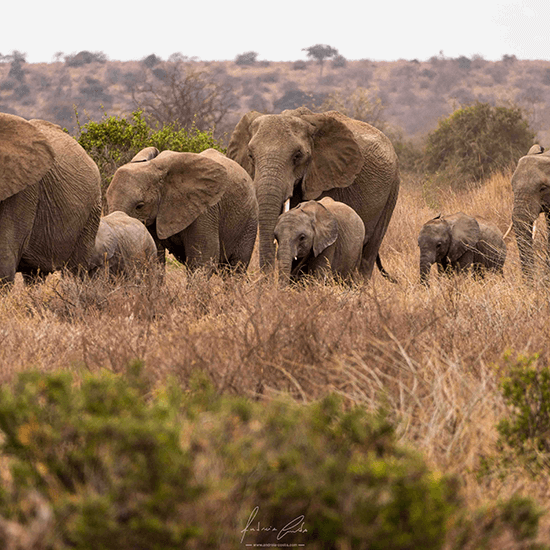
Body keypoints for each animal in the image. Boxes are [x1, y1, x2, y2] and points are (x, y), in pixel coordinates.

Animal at [106, 147, 260, 272]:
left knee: (235, 268)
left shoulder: (205, 210)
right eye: (107, 199)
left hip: (249, 222)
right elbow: (156, 258)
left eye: (140, 206)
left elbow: (203, 259)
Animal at [227, 108, 402, 280]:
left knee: (370, 252)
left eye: (297, 156)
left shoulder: (328, 176)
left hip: (392, 189)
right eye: (250, 155)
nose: (267, 282)